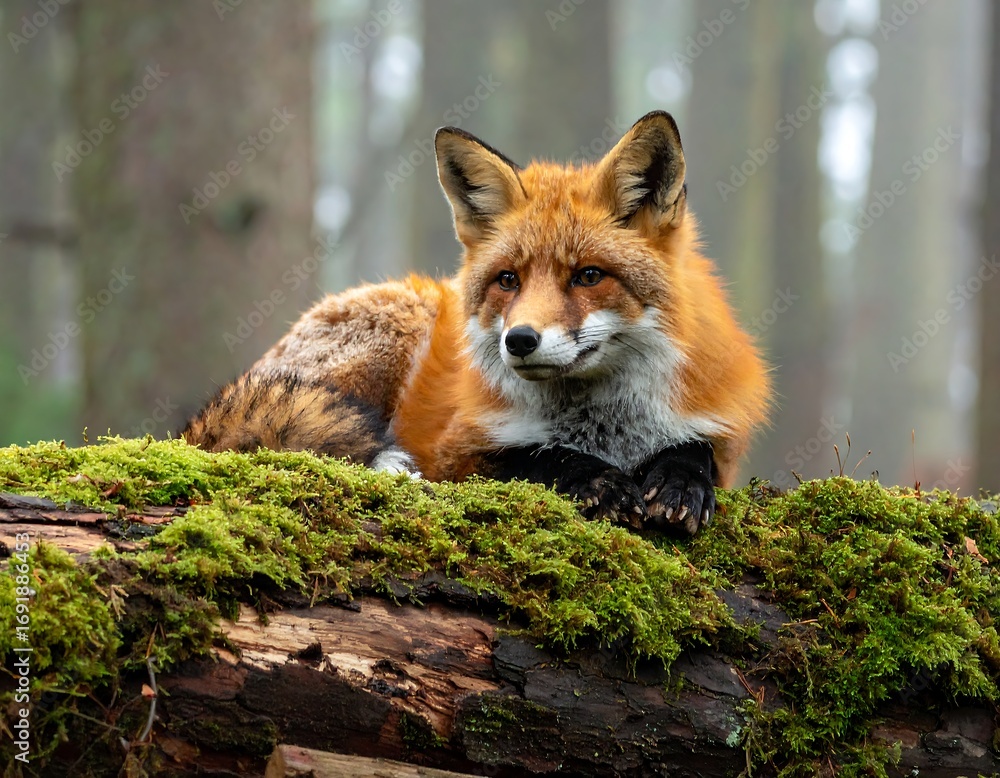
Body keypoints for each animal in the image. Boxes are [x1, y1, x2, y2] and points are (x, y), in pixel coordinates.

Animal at [182, 111, 770, 534]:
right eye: (508, 280)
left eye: (588, 276)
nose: (520, 340)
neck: (605, 428)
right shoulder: (456, 452)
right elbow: (536, 456)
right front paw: (594, 480)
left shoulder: (719, 438)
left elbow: (693, 450)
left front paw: (678, 484)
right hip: (394, 329)